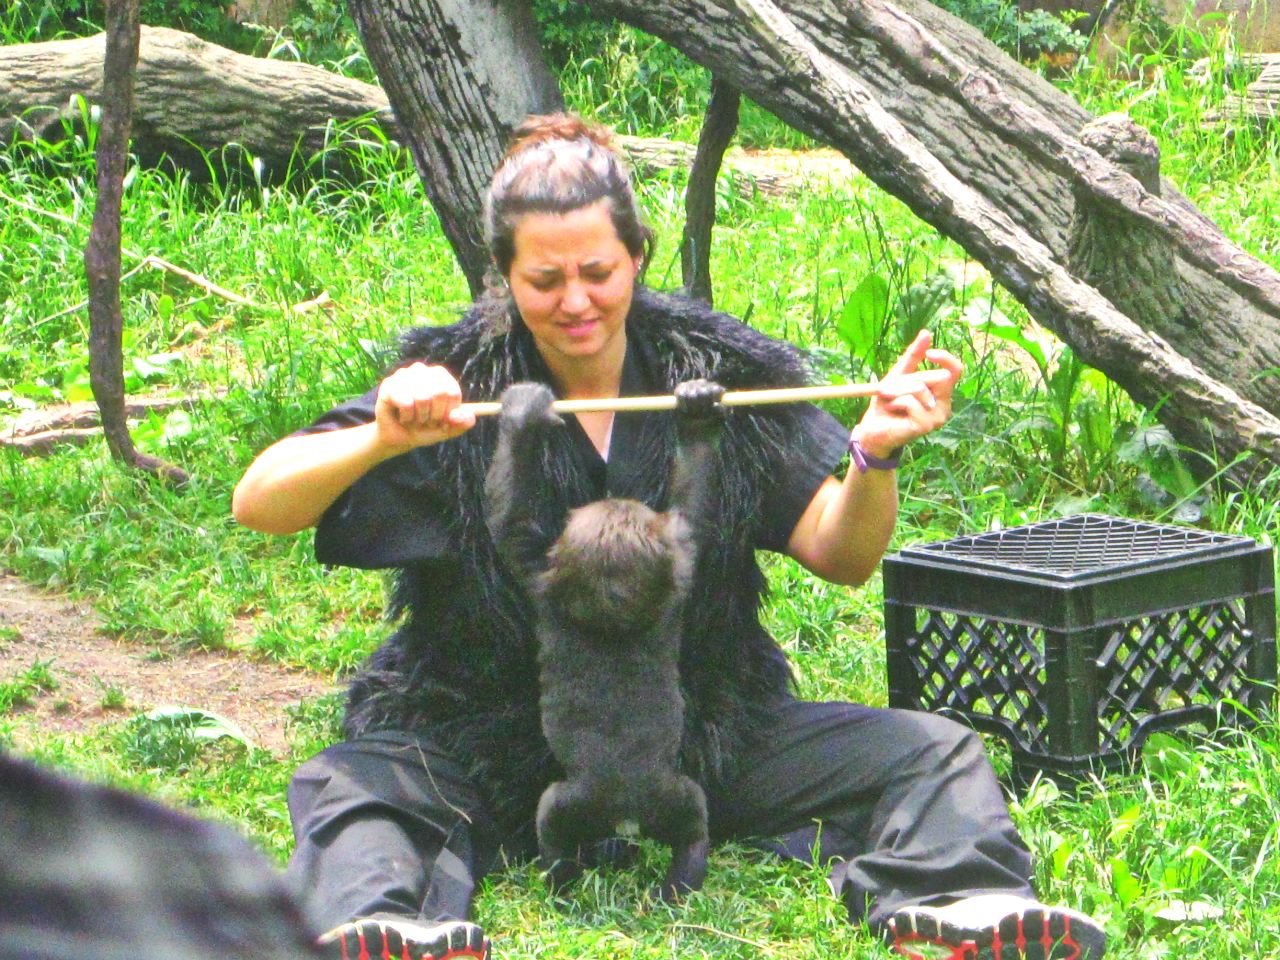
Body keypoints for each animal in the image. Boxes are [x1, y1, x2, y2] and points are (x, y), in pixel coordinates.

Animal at [484, 378, 725, 902]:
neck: (612, 614)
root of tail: (625, 814)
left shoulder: (538, 572)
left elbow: (510, 519)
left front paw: (522, 418)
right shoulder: (676, 564)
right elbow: (692, 513)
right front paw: (697, 412)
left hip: (608, 802)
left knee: (561, 826)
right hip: (648, 800)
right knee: (689, 823)